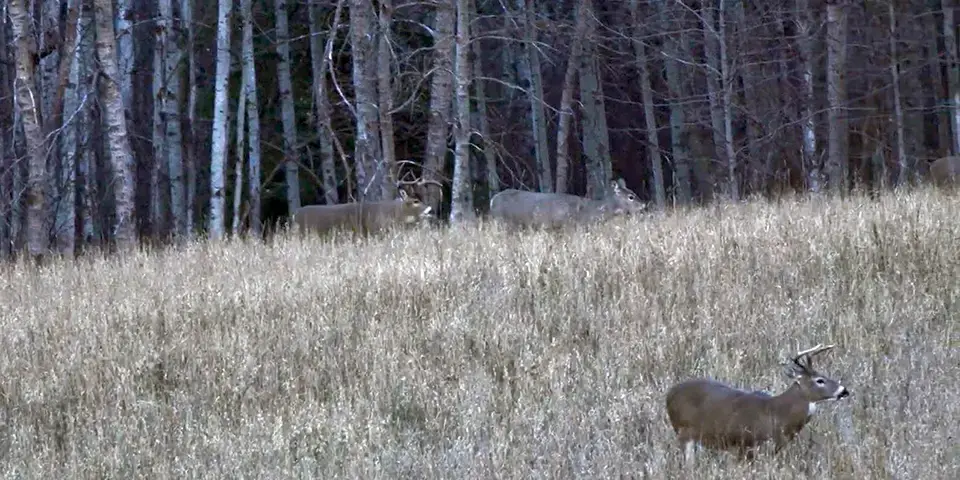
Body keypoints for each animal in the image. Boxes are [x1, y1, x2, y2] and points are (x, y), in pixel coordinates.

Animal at [488, 177, 644, 230]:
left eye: (633, 192)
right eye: (631, 197)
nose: (643, 205)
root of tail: (492, 200)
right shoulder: (568, 226)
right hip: (504, 223)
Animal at [664, 344, 852, 464]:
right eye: (820, 380)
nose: (844, 390)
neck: (777, 414)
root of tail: (669, 393)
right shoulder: (746, 444)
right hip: (684, 432)